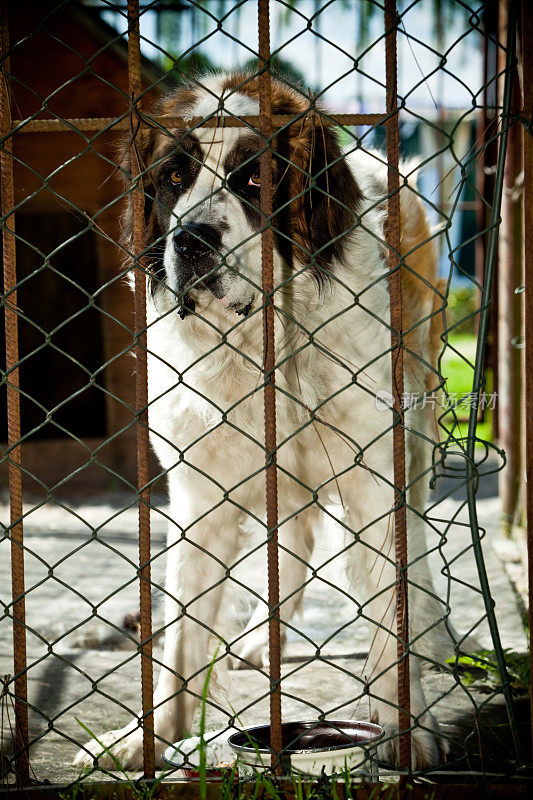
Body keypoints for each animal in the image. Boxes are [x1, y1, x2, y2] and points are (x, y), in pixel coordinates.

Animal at [72, 72, 450, 772]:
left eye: (252, 179)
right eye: (173, 177)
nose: (191, 240)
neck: (259, 340)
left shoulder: (374, 475)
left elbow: (392, 599)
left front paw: (407, 727)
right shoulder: (199, 494)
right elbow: (180, 638)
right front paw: (147, 738)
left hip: (416, 426)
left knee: (411, 537)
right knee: (294, 540)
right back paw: (257, 641)